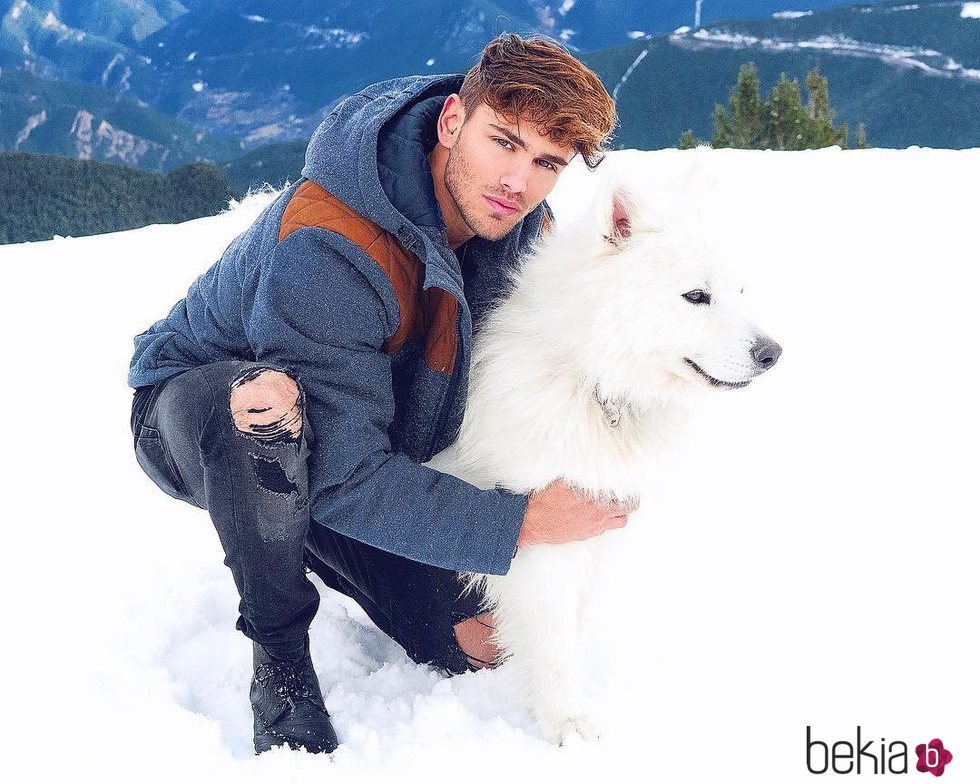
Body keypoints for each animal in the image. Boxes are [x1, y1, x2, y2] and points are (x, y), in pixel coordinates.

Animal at [428, 153, 780, 748]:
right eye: (696, 296)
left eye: (738, 291)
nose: (772, 352)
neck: (591, 380)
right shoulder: (540, 535)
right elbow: (552, 641)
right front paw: (567, 723)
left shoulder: (596, 525)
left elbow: (573, 623)